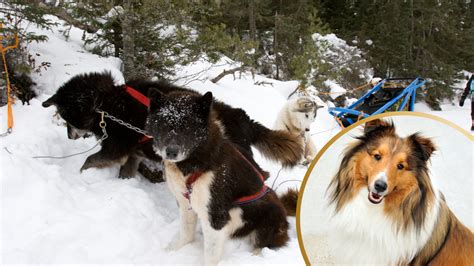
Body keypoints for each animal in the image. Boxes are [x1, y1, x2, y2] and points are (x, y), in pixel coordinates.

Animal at [43, 71, 304, 178]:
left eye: (65, 117)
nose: (69, 136)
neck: (106, 103)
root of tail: (244, 119)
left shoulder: (116, 147)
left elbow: (89, 161)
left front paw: (79, 176)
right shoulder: (133, 153)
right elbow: (125, 170)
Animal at [146, 90, 298, 266]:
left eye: (188, 127)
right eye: (164, 125)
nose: (171, 152)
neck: (197, 162)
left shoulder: (215, 215)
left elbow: (211, 255)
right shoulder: (185, 204)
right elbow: (186, 234)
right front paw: (174, 252)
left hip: (267, 213)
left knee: (264, 244)